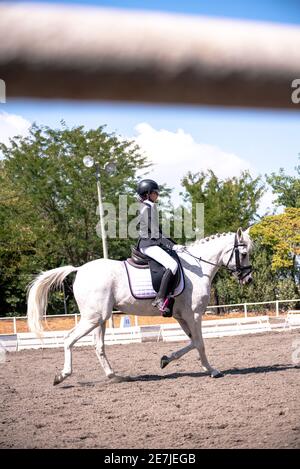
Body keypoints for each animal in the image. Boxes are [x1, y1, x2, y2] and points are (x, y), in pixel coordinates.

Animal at [27, 227, 253, 384]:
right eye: (243, 254)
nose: (248, 279)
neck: (198, 269)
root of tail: (80, 269)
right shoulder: (194, 315)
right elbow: (199, 343)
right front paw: (212, 370)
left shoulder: (181, 316)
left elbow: (192, 342)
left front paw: (165, 359)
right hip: (94, 317)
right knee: (69, 339)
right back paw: (62, 376)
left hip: (100, 318)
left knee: (98, 346)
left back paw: (114, 376)